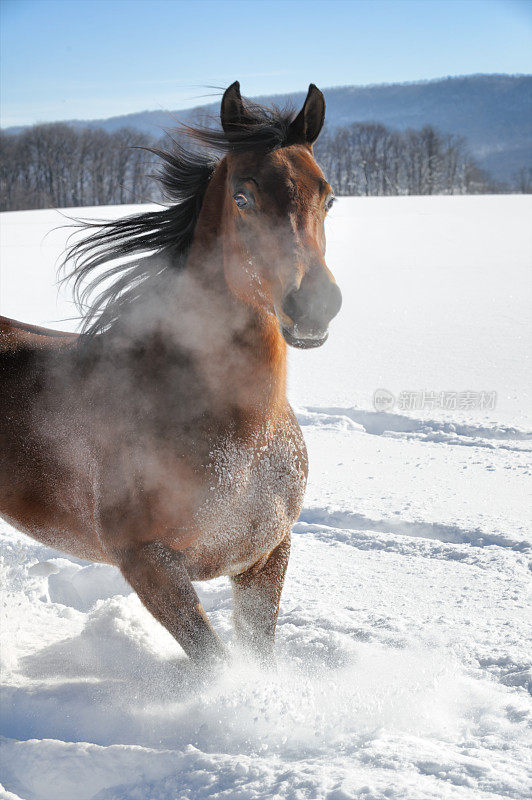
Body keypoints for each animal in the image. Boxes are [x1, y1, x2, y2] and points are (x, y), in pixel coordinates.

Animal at [0, 84, 340, 664]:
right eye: (243, 198)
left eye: (329, 196)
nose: (315, 305)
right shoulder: (148, 565)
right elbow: (215, 665)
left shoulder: (266, 557)